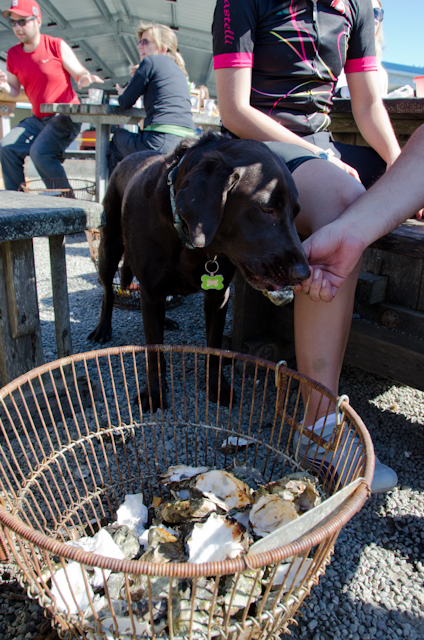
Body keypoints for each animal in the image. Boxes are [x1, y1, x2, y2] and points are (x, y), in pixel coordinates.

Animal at [88, 133, 308, 412]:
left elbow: (214, 350)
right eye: (267, 209)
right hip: (109, 247)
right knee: (107, 292)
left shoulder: (218, 297)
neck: (188, 239)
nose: (305, 273)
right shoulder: (151, 291)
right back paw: (102, 329)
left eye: (296, 212)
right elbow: (154, 352)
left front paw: (217, 388)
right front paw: (154, 393)